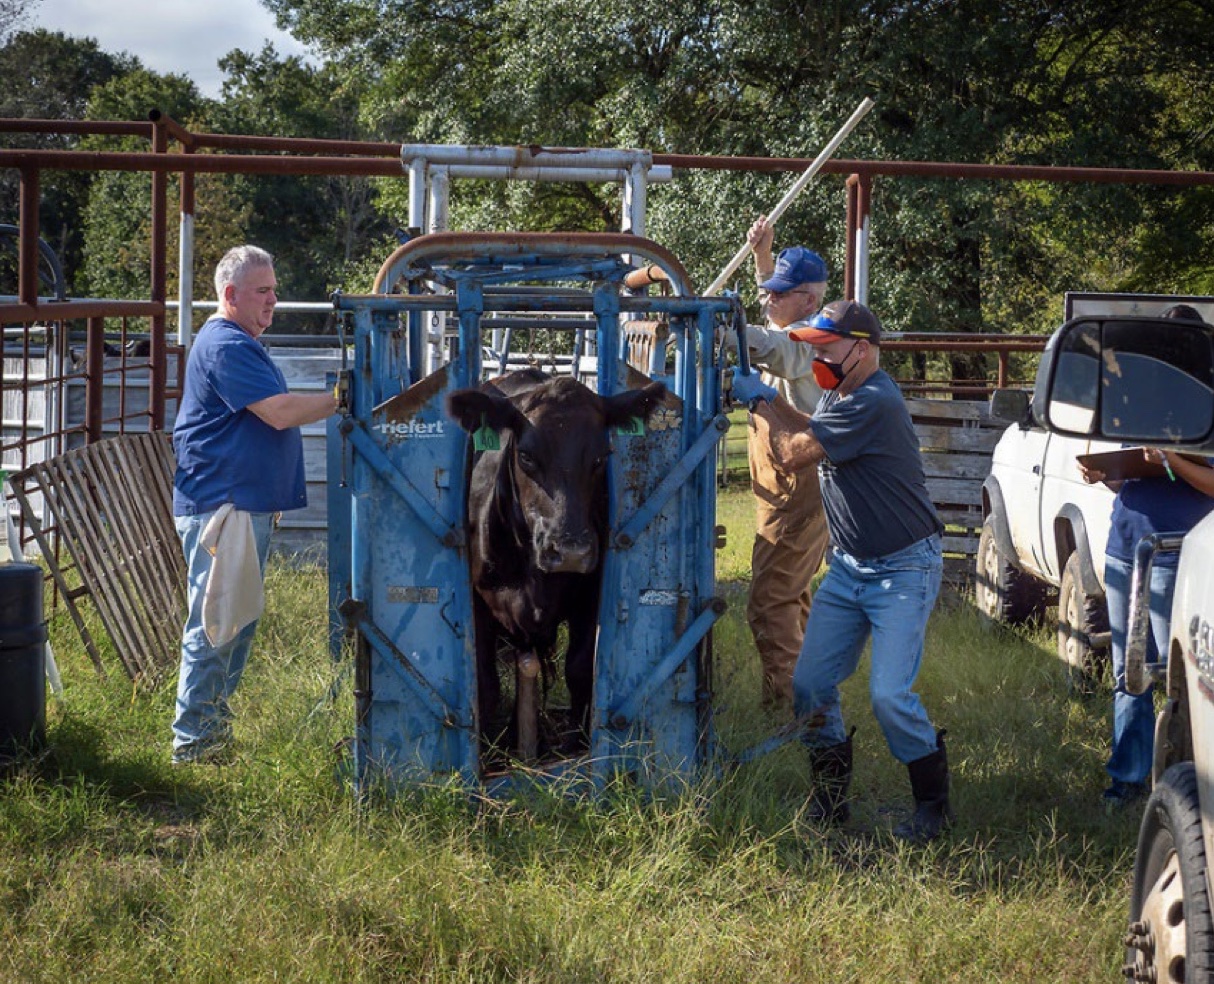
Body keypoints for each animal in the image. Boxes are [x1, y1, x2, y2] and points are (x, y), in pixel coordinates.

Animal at [451, 368, 670, 752]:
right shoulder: (477, 604)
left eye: (601, 456)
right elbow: (484, 683)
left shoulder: (590, 598)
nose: (570, 551)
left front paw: (577, 742)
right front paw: (489, 748)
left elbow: (581, 671)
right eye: (526, 455)